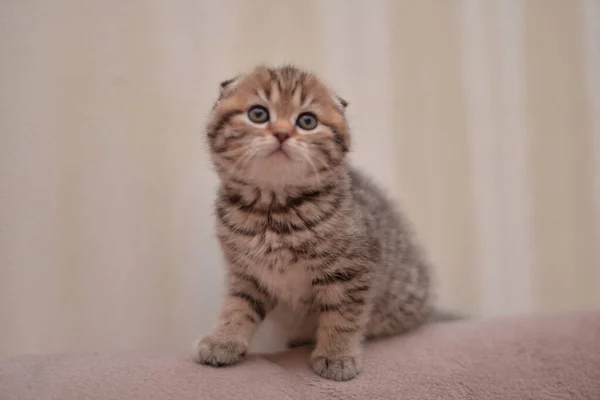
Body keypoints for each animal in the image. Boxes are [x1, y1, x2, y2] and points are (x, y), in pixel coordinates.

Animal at [195, 65, 434, 382]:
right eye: (258, 114)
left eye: (307, 121)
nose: (282, 133)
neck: (273, 210)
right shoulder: (246, 273)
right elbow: (237, 306)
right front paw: (223, 341)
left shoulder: (352, 271)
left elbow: (342, 315)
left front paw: (337, 356)